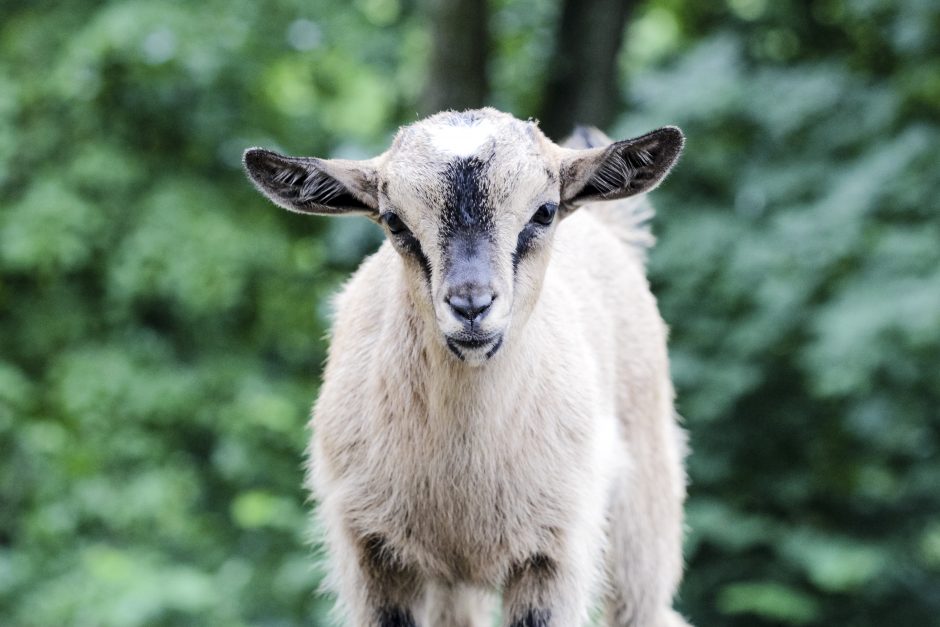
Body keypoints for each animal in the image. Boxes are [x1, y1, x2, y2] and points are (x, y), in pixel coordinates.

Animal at [246, 109, 692, 627]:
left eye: (544, 211)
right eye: (394, 220)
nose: (471, 306)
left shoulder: (556, 552)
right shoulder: (371, 552)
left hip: (645, 512)